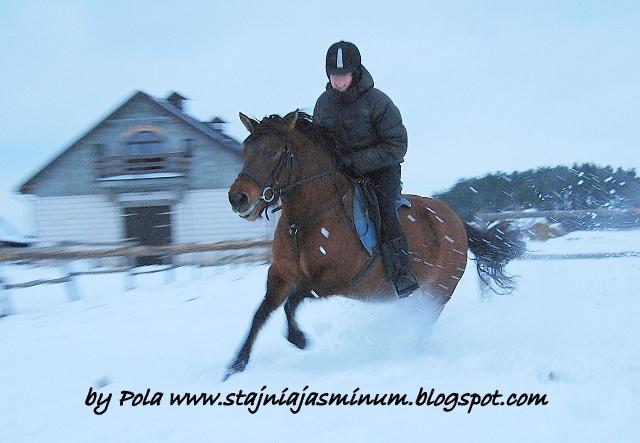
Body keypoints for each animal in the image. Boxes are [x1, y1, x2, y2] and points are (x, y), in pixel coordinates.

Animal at [226, 110, 524, 382]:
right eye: (247, 149)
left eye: (274, 152)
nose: (238, 198)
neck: (304, 220)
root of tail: (459, 223)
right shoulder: (281, 275)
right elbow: (260, 313)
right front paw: (235, 366)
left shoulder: (334, 280)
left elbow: (292, 302)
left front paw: (299, 338)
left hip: (438, 292)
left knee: (423, 324)